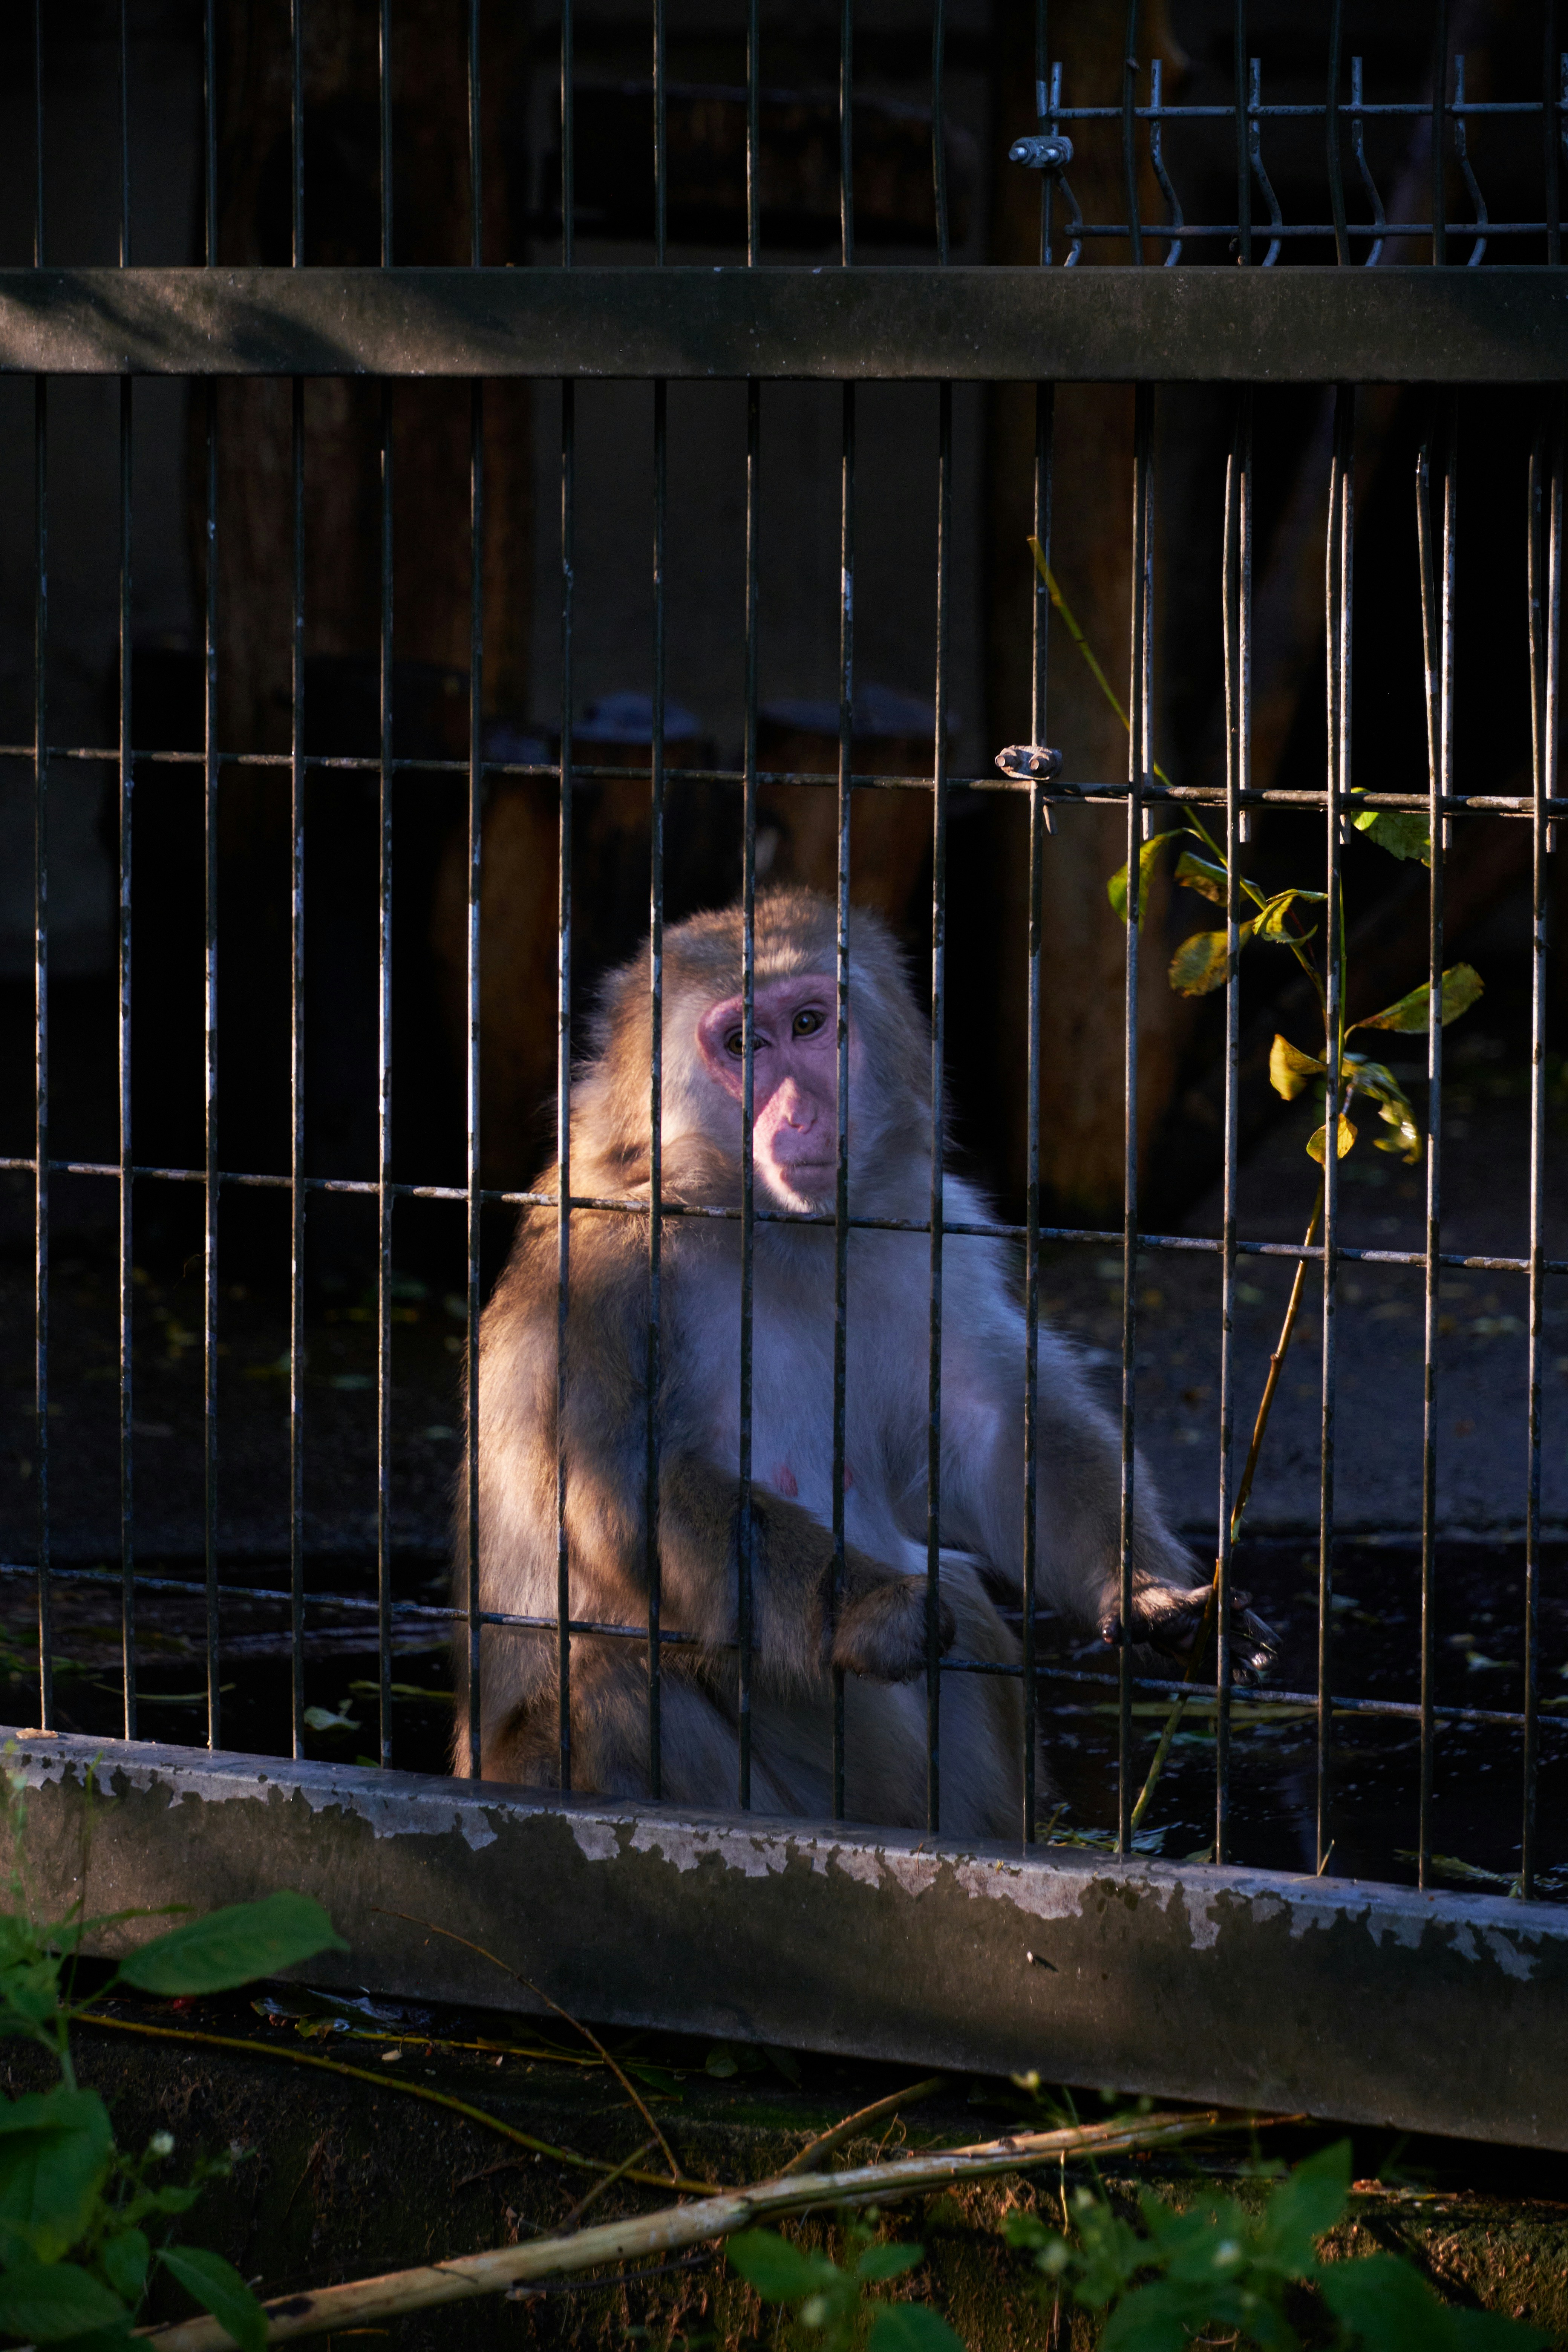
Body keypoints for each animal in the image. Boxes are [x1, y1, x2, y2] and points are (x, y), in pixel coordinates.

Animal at [455, 886, 1273, 1839]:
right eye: (744, 1044)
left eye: (810, 1023)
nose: (800, 1113)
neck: (770, 1228)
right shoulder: (601, 1275)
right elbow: (615, 1486)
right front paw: (873, 1613)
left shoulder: (929, 1229)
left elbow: (992, 1428)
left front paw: (1147, 1598)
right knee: (608, 1686)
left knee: (964, 1604)